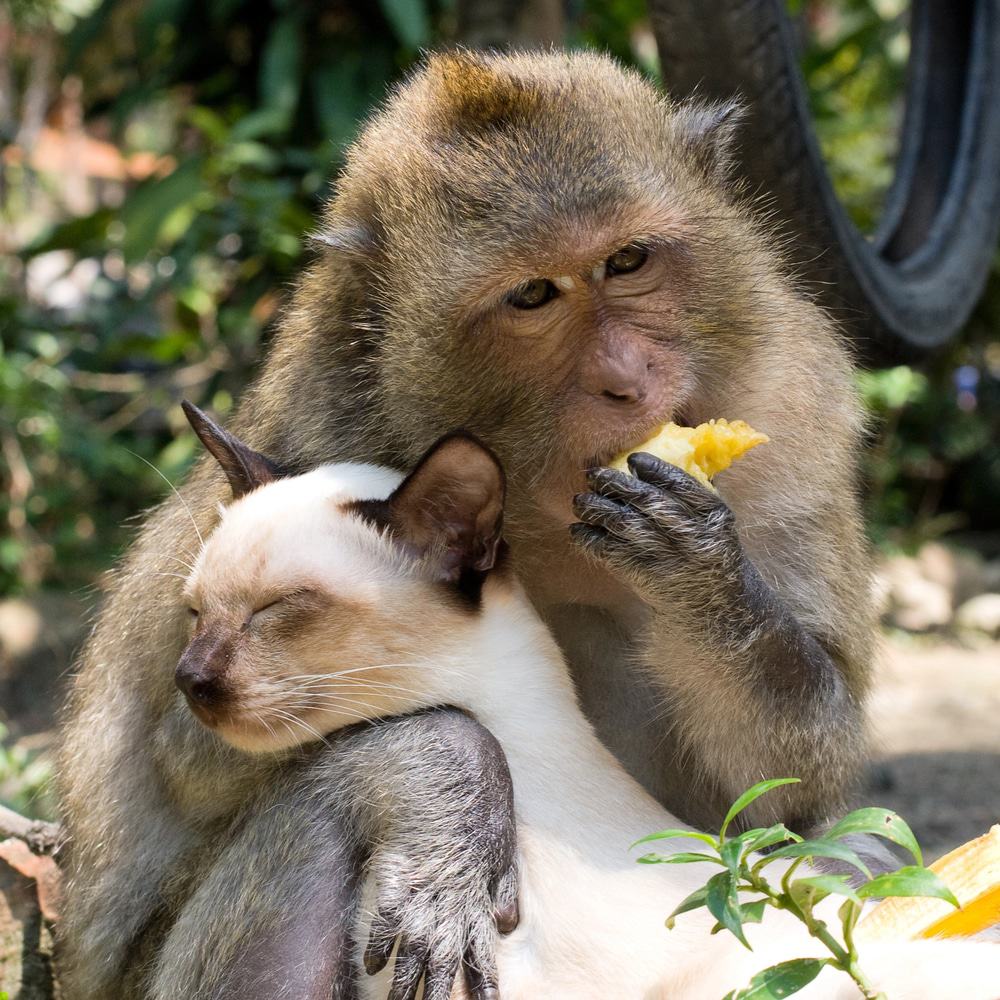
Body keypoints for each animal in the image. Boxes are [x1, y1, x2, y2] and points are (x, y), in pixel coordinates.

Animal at [57, 49, 875, 998]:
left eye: (628, 260)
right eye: (533, 295)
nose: (628, 380)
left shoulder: (792, 405)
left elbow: (787, 793)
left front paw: (699, 574)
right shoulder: (318, 437)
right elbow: (190, 753)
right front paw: (448, 787)